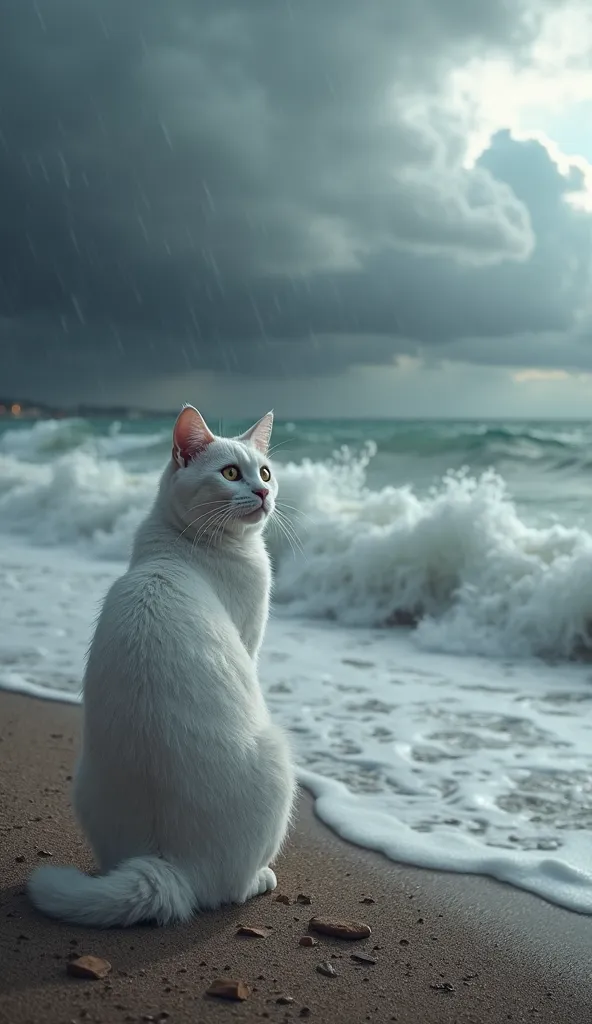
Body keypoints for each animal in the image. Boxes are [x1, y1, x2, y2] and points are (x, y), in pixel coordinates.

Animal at [27, 405, 294, 929]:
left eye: (266, 471)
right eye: (230, 474)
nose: (263, 492)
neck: (179, 545)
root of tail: (170, 866)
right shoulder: (249, 639)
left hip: (82, 782)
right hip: (279, 754)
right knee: (230, 890)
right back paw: (261, 878)